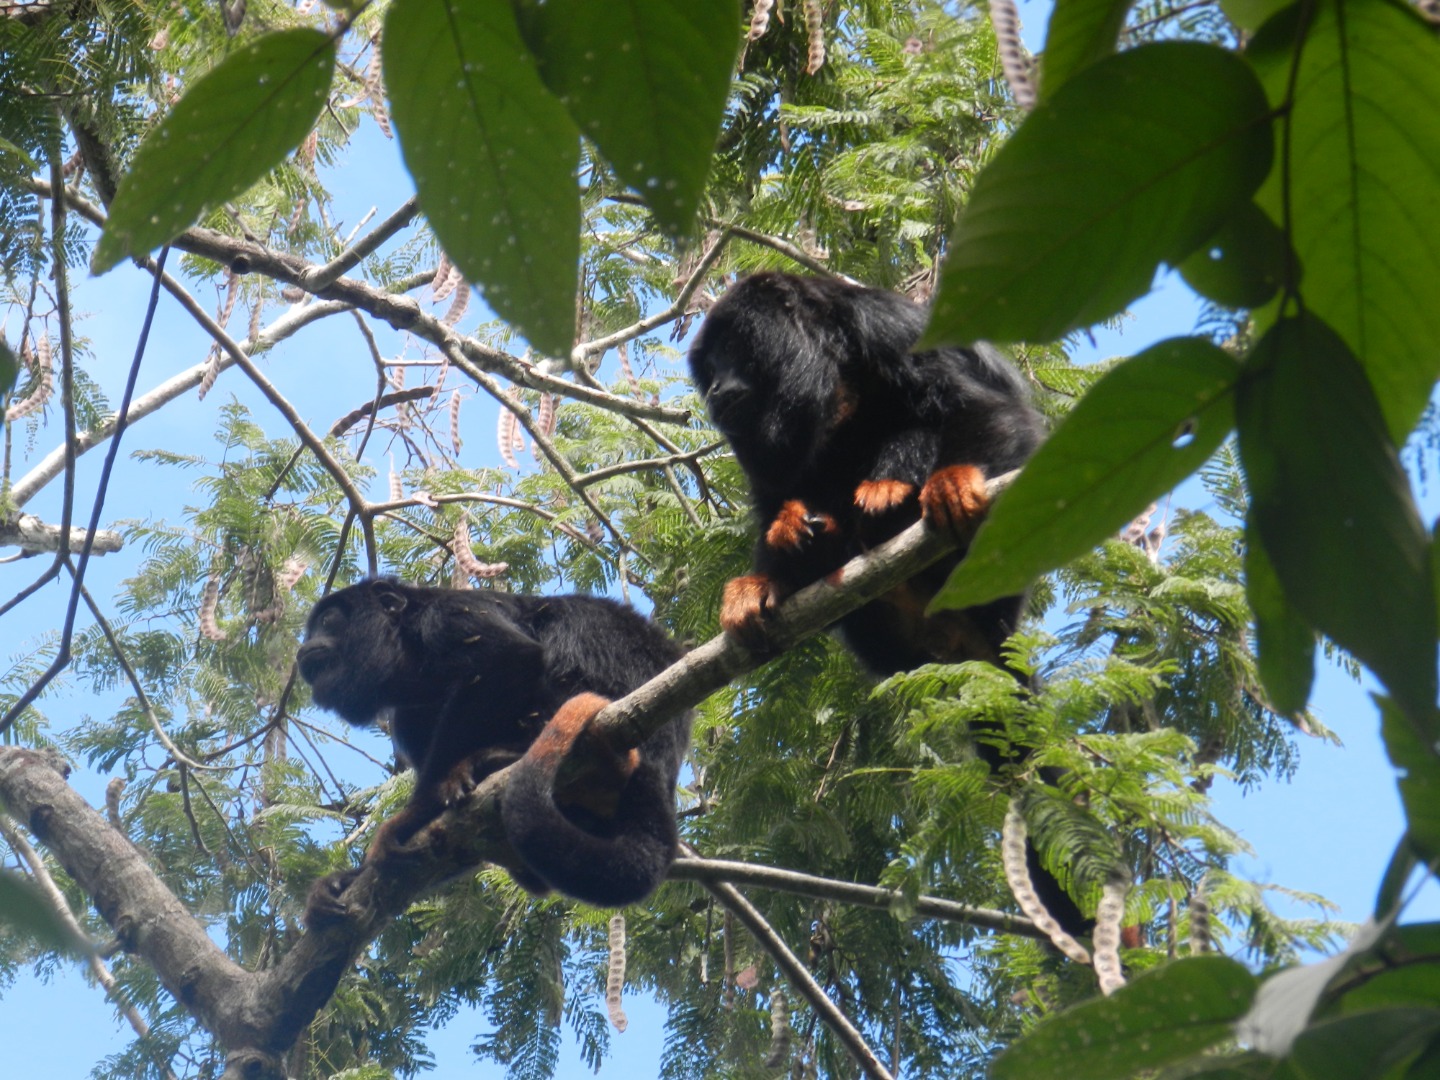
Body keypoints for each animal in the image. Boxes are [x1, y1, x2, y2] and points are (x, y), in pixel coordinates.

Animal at [298, 578, 691, 910]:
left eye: (328, 621)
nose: (303, 650)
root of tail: (664, 762)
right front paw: (345, 881)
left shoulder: (449, 615)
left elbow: (507, 657)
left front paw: (411, 819)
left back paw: (500, 759)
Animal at [691, 276, 1082, 938]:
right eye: (708, 368)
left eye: (733, 351)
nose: (715, 390)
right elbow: (770, 493)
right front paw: (763, 577)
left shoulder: (886, 331)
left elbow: (988, 411)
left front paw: (953, 479)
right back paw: (813, 542)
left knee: (917, 423)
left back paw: (896, 498)